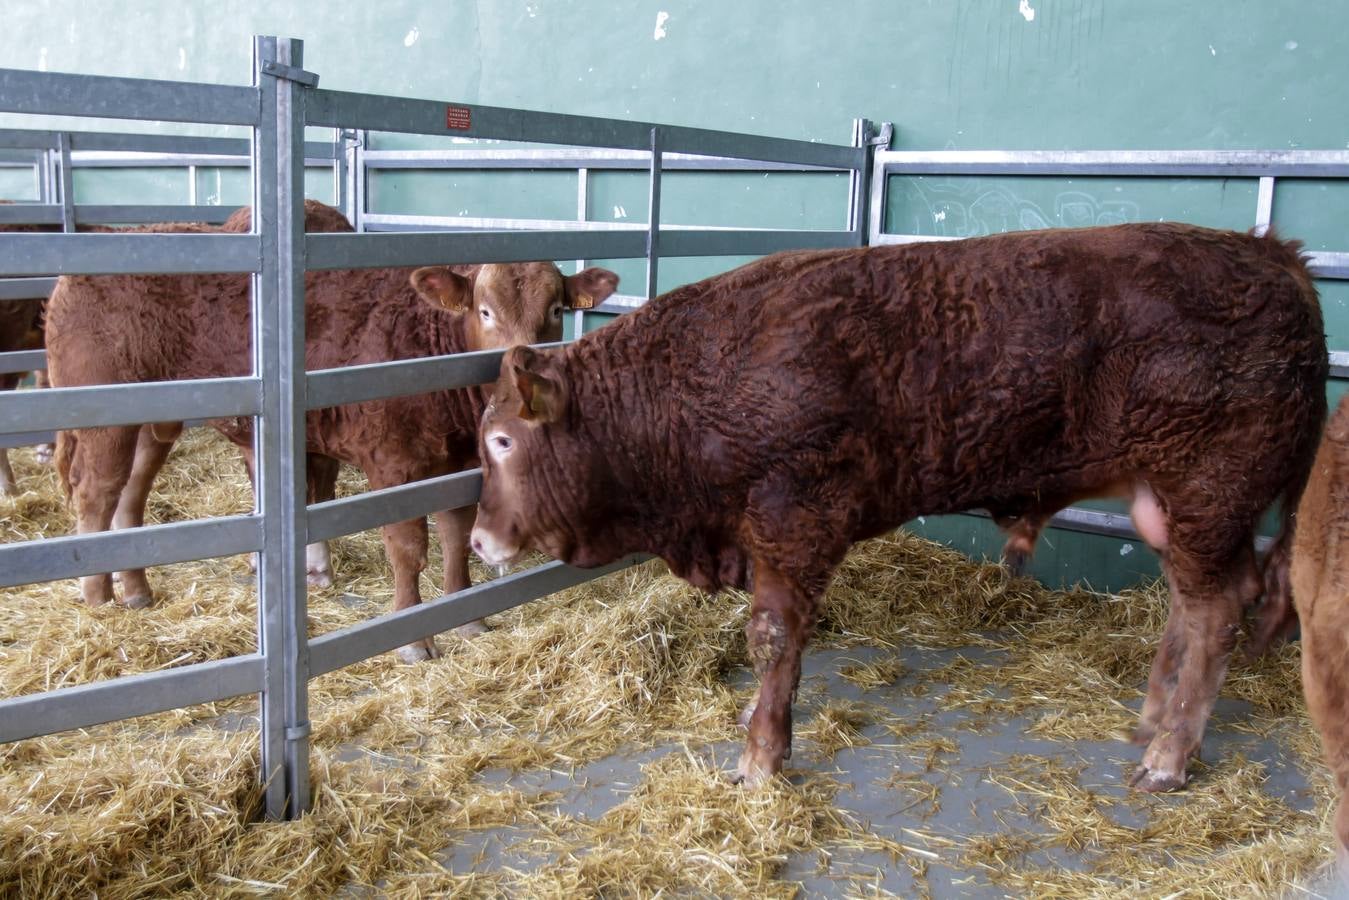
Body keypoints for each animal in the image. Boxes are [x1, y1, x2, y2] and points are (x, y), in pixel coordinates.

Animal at [474, 223, 1327, 788]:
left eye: (503, 442)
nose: (481, 541)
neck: (692, 384)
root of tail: (1273, 256)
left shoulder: (793, 519)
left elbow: (773, 638)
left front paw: (760, 755)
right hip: (1171, 504)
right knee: (1189, 604)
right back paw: (1152, 716)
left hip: (1209, 492)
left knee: (1215, 614)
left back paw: (1168, 756)